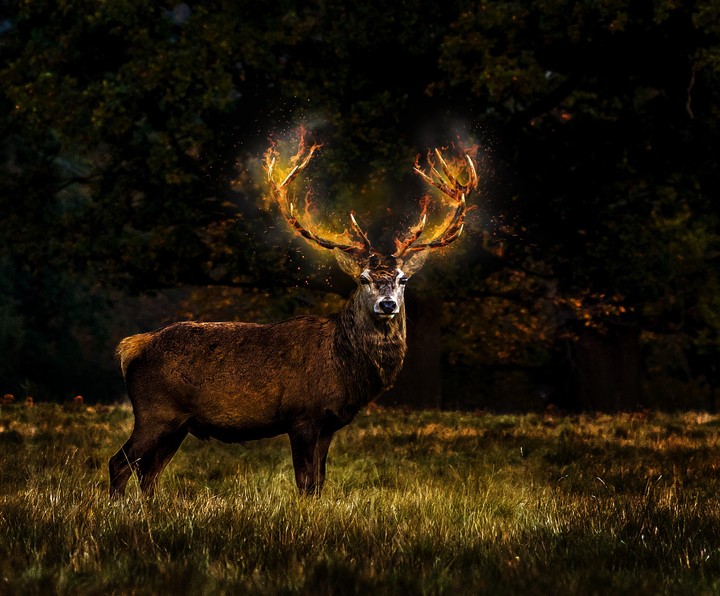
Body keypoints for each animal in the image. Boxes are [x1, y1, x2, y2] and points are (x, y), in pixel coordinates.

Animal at [108, 131, 478, 497]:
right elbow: (304, 481)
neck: (344, 367)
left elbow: (319, 482)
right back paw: (119, 506)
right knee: (120, 462)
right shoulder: (301, 414)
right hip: (155, 411)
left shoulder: (329, 423)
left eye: (402, 279)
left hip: (179, 423)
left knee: (149, 473)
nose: (388, 305)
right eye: (362, 279)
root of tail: (131, 347)